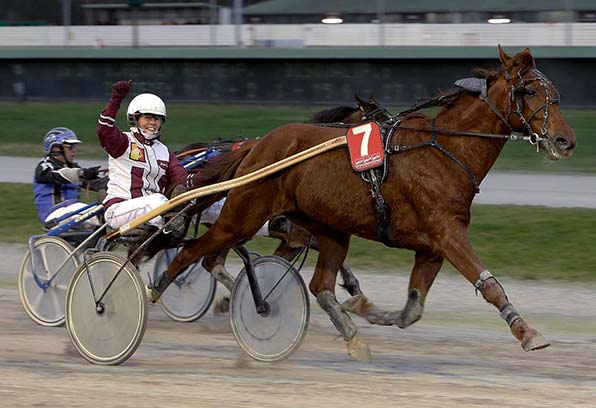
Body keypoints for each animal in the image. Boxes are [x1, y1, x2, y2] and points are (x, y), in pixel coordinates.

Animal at [151, 46, 576, 362]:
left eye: (555, 94)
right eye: (530, 93)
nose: (565, 141)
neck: (445, 150)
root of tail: (259, 145)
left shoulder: (431, 246)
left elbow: (413, 309)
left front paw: (374, 313)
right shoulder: (447, 232)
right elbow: (489, 284)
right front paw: (527, 332)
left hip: (328, 229)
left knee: (319, 285)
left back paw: (352, 334)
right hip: (240, 217)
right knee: (192, 252)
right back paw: (156, 290)